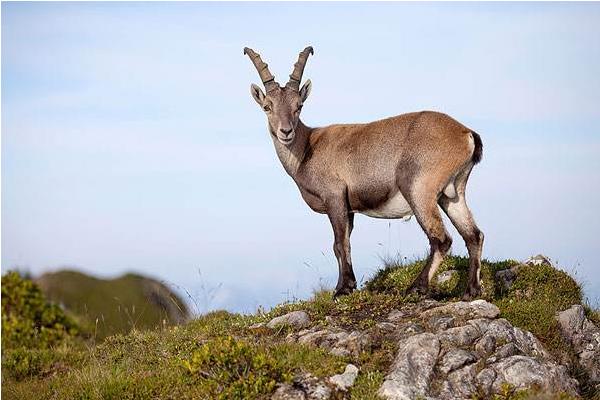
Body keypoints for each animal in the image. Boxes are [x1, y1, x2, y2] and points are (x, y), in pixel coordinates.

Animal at [244, 46, 482, 300]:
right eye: (267, 106)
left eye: (299, 105)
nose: (286, 131)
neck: (307, 148)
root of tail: (466, 133)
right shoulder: (349, 209)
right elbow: (343, 243)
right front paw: (347, 284)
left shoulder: (335, 197)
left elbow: (339, 244)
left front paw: (342, 289)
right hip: (452, 194)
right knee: (474, 235)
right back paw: (471, 291)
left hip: (418, 189)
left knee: (441, 239)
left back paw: (416, 288)